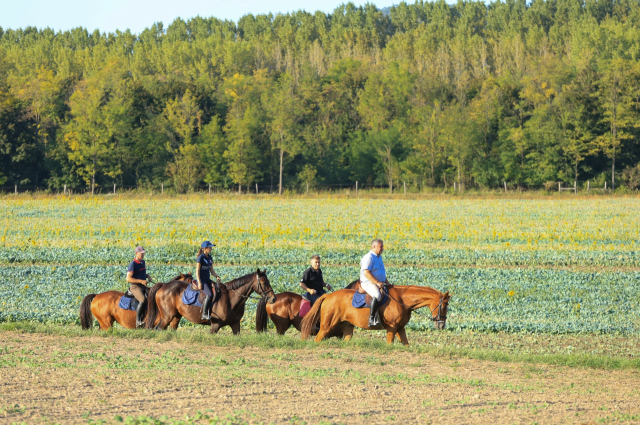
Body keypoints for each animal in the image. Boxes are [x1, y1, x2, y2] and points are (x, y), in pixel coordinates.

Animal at [145, 268, 276, 334]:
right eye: (264, 282)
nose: (273, 298)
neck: (231, 299)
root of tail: (164, 285)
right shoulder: (215, 325)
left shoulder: (235, 324)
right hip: (167, 317)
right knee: (158, 329)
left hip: (176, 317)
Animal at [300, 284, 450, 344]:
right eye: (444, 305)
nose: (441, 325)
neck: (402, 300)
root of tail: (328, 296)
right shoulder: (392, 329)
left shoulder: (400, 328)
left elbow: (406, 344)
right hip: (327, 326)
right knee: (318, 338)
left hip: (347, 326)